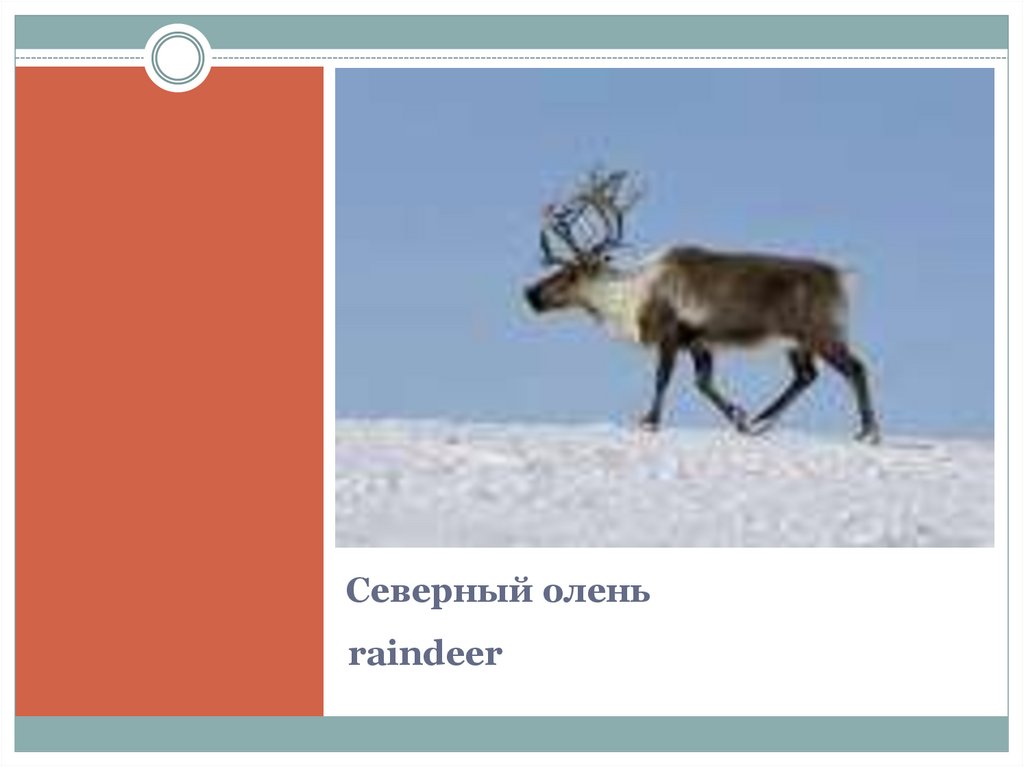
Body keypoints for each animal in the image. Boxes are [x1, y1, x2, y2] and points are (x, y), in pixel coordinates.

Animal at [522, 169, 880, 443]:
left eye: (569, 274)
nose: (529, 294)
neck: (630, 296)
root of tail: (841, 276)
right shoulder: (699, 341)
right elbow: (704, 384)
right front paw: (740, 417)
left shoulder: (670, 334)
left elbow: (662, 379)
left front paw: (649, 421)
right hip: (795, 342)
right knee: (805, 376)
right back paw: (762, 419)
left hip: (822, 333)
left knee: (856, 368)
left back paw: (868, 432)